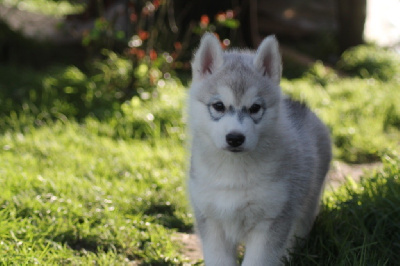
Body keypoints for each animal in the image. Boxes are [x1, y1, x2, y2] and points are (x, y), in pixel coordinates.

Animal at [188, 33, 332, 266]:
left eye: (255, 108)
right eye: (219, 106)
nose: (235, 138)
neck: (234, 172)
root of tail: (301, 107)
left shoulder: (271, 221)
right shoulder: (211, 221)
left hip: (307, 204)